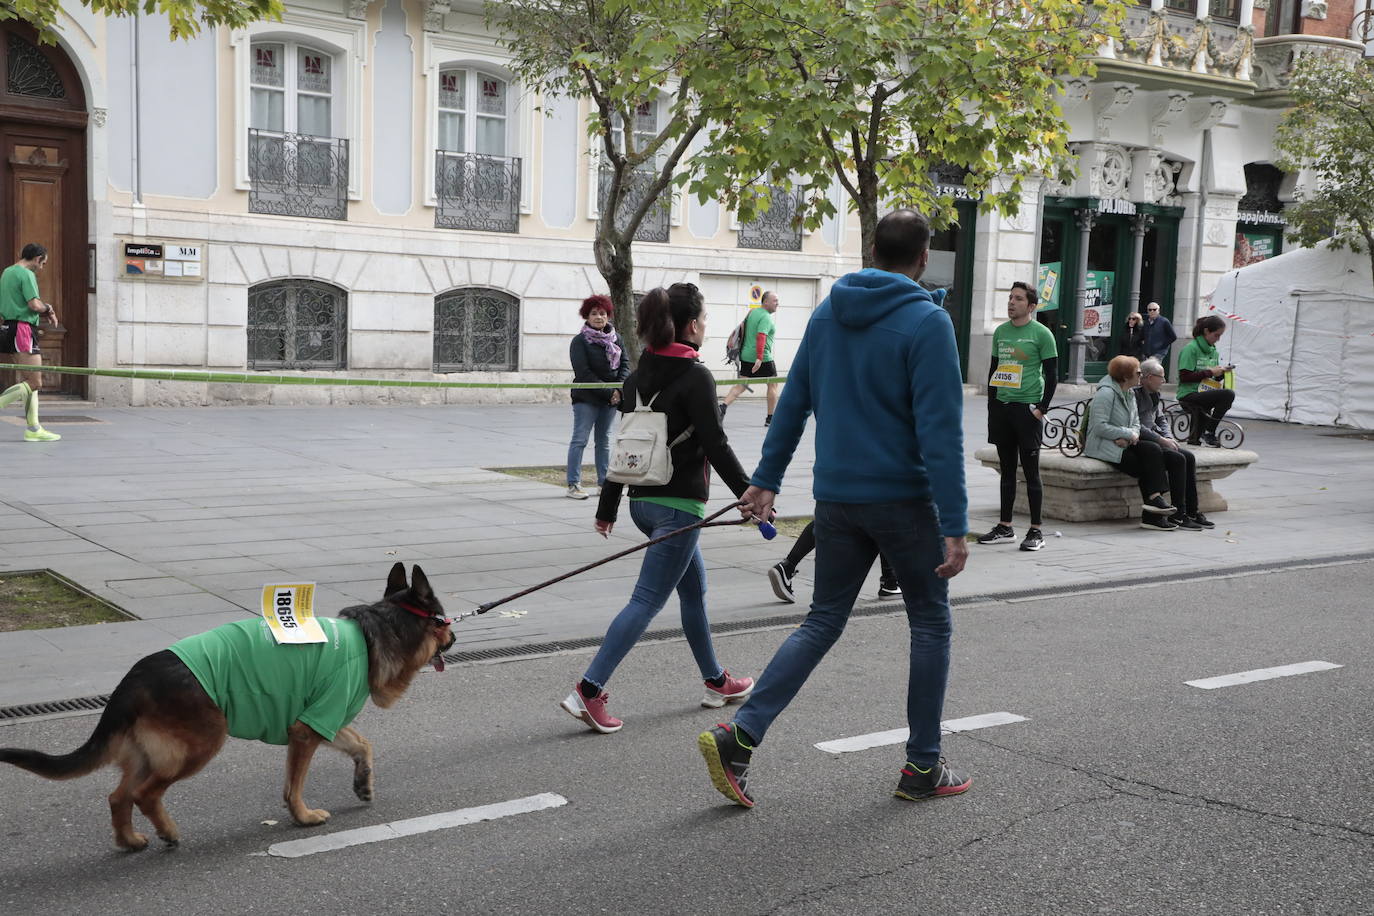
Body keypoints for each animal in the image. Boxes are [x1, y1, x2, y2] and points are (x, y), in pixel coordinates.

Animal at [0, 563, 456, 856]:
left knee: (118, 796)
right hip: (200, 745)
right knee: (145, 794)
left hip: (151, 753)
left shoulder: (324, 722)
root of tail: (135, 676)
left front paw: (362, 782)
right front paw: (303, 817)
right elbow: (294, 785)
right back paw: (168, 832)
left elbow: (363, 745)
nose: (454, 636)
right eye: (444, 619)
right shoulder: (308, 730)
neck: (375, 629)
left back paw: (129, 841)